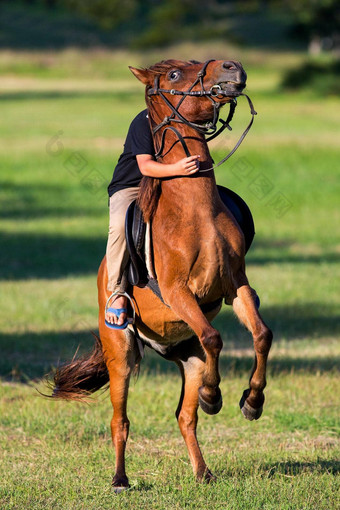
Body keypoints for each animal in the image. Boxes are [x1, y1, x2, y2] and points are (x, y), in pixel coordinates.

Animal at [51, 58, 274, 490]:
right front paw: (215, 396)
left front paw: (250, 402)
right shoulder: (177, 292)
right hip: (120, 353)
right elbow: (214, 335)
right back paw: (120, 478)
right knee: (119, 420)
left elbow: (260, 335)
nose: (232, 66)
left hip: (188, 357)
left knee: (185, 417)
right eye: (173, 75)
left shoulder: (237, 287)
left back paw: (203, 471)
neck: (198, 213)